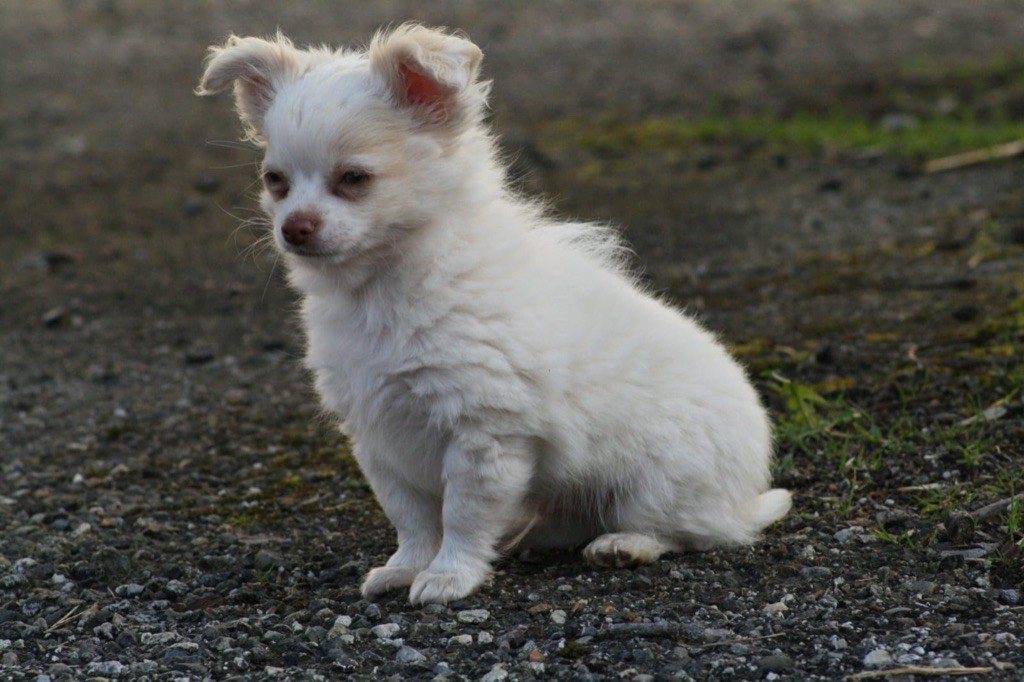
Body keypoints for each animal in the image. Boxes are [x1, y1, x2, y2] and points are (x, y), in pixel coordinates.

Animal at [197, 23, 790, 602]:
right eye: (275, 182)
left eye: (354, 179)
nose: (294, 228)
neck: (383, 292)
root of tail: (745, 495)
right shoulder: (380, 434)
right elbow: (411, 516)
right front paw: (406, 567)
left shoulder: (485, 431)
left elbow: (462, 514)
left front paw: (449, 576)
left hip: (658, 483)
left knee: (689, 531)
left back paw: (626, 544)